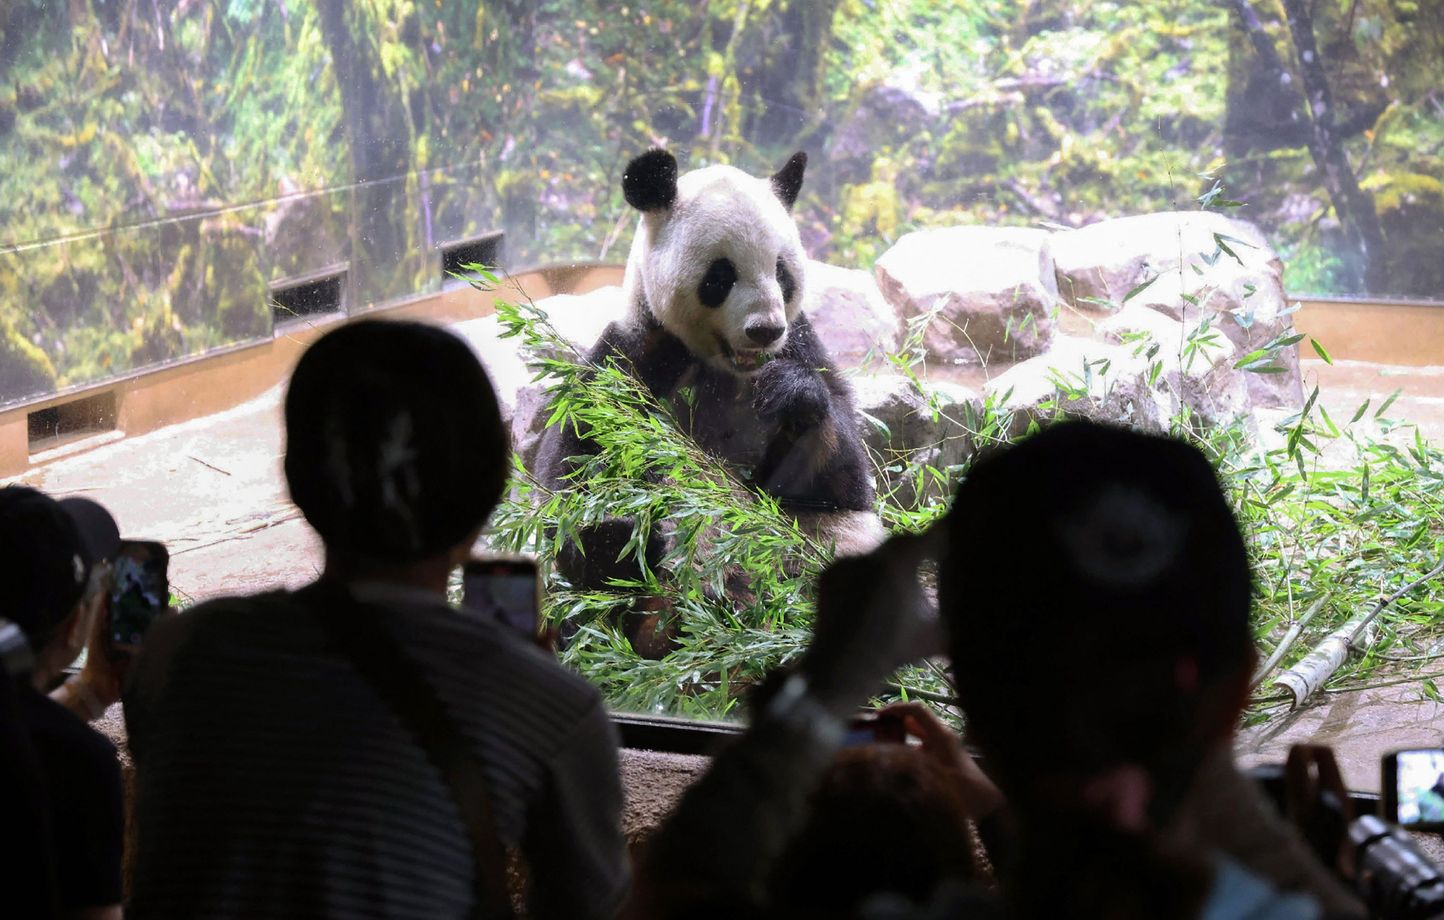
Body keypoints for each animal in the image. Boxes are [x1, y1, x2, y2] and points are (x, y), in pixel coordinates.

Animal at [537, 150, 883, 623]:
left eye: (781, 272)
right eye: (721, 276)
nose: (764, 330)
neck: (727, 367)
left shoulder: (801, 343)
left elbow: (844, 479)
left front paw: (789, 391)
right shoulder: (635, 356)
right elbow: (573, 462)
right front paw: (610, 536)